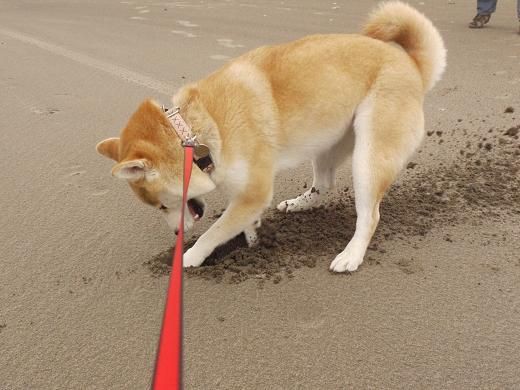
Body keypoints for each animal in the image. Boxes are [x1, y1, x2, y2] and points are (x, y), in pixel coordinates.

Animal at [97, 2, 446, 272]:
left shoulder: (253, 192)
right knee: (324, 185)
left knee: (370, 215)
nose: (175, 233)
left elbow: (215, 231)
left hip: (368, 156)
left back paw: (351, 255)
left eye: (160, 206)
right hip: (327, 142)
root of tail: (412, 66)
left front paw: (191, 255)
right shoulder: (244, 192)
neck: (197, 133)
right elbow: (238, 222)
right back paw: (299, 204)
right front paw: (251, 239)